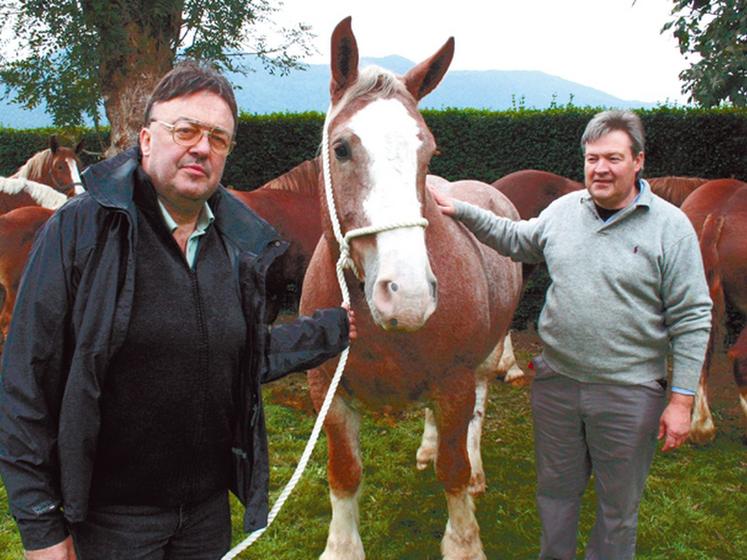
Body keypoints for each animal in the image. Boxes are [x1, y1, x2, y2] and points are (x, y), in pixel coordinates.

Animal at [298, 18, 520, 560]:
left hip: (481, 363)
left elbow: (453, 469)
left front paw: (463, 542)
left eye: (429, 151)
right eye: (341, 148)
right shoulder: (327, 390)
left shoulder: (455, 380)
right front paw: (342, 546)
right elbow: (344, 472)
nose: (408, 295)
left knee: (475, 415)